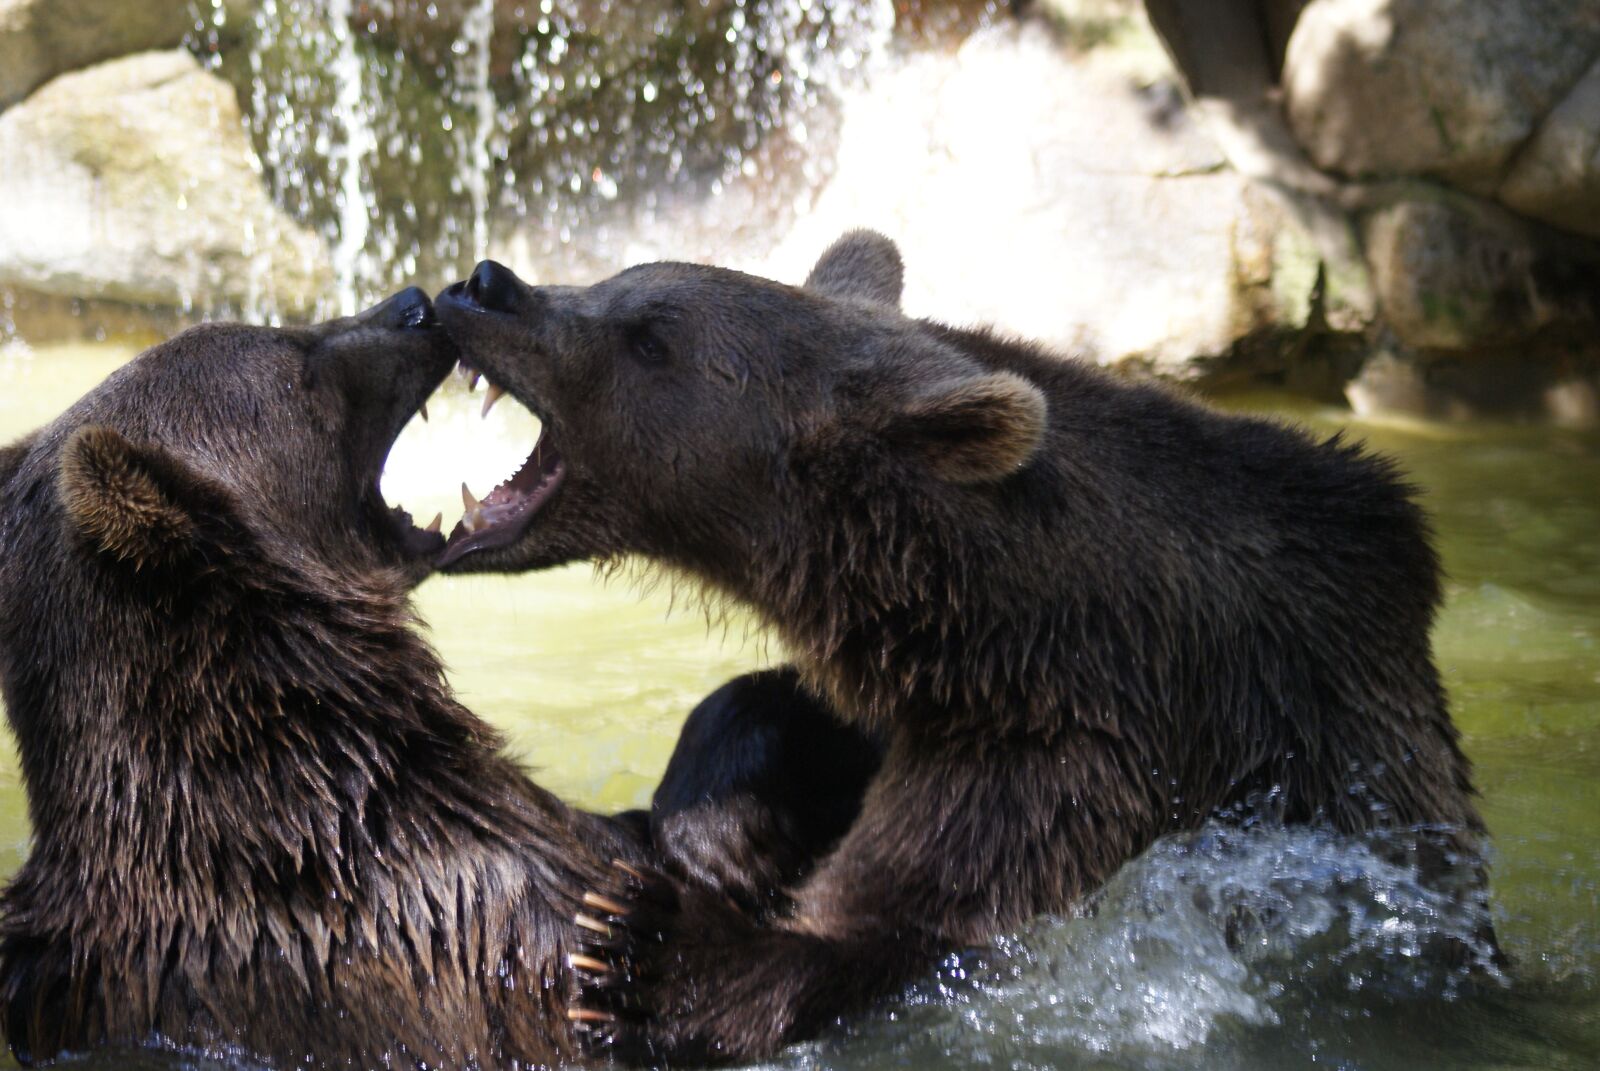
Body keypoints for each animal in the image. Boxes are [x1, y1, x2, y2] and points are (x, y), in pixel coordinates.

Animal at [432, 232, 1488, 1065]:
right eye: (618, 279)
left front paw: (649, 947)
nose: (485, 282)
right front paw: (720, 823)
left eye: (649, 336)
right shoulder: (928, 688)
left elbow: (915, 922)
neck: (1009, 616)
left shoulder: (1093, 747)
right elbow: (783, 716)